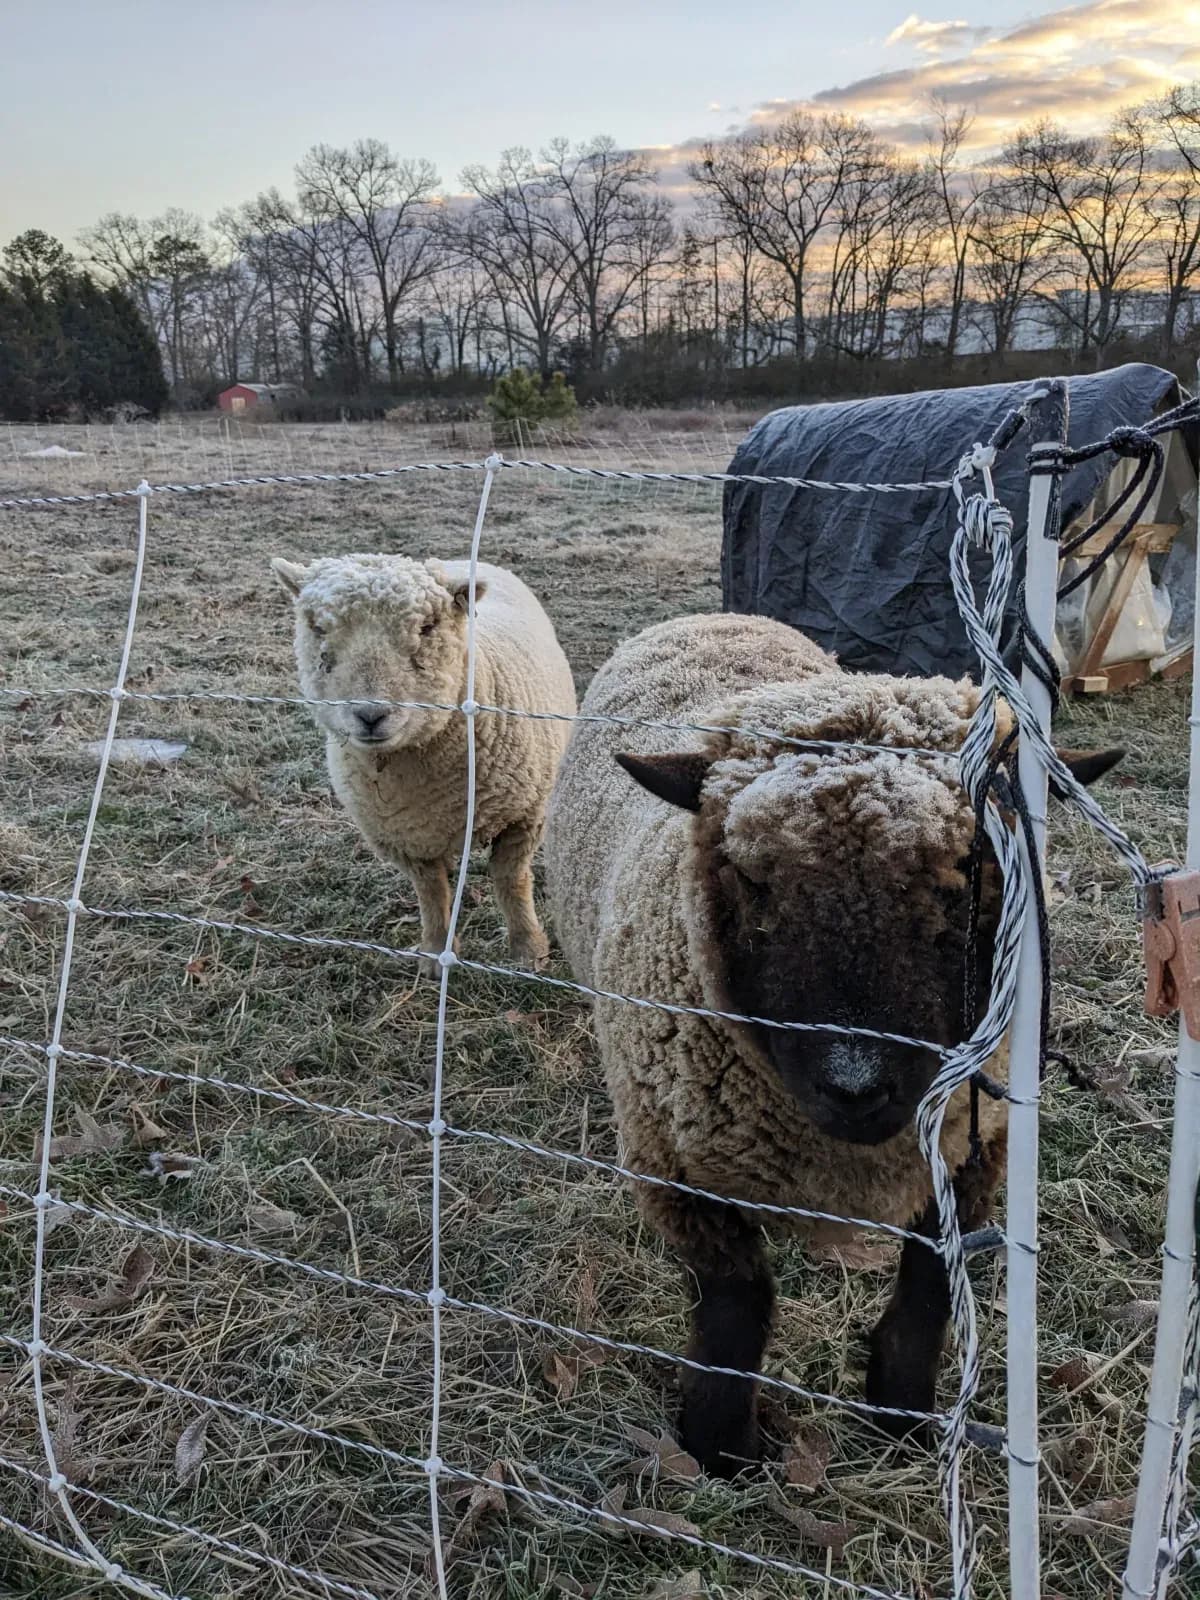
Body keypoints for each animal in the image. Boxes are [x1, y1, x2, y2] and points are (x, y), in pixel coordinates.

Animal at [272, 552, 576, 974]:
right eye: (317, 627)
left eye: (428, 626)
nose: (370, 715)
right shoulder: (403, 839)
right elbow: (431, 892)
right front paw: (435, 952)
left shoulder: (525, 816)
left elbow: (511, 881)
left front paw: (528, 951)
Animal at [543, 611, 1122, 1476]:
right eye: (753, 880)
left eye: (966, 875)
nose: (856, 1085)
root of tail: (714, 616)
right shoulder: (678, 1169)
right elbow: (737, 1306)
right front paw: (721, 1449)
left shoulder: (975, 1147)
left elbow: (930, 1284)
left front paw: (902, 1413)